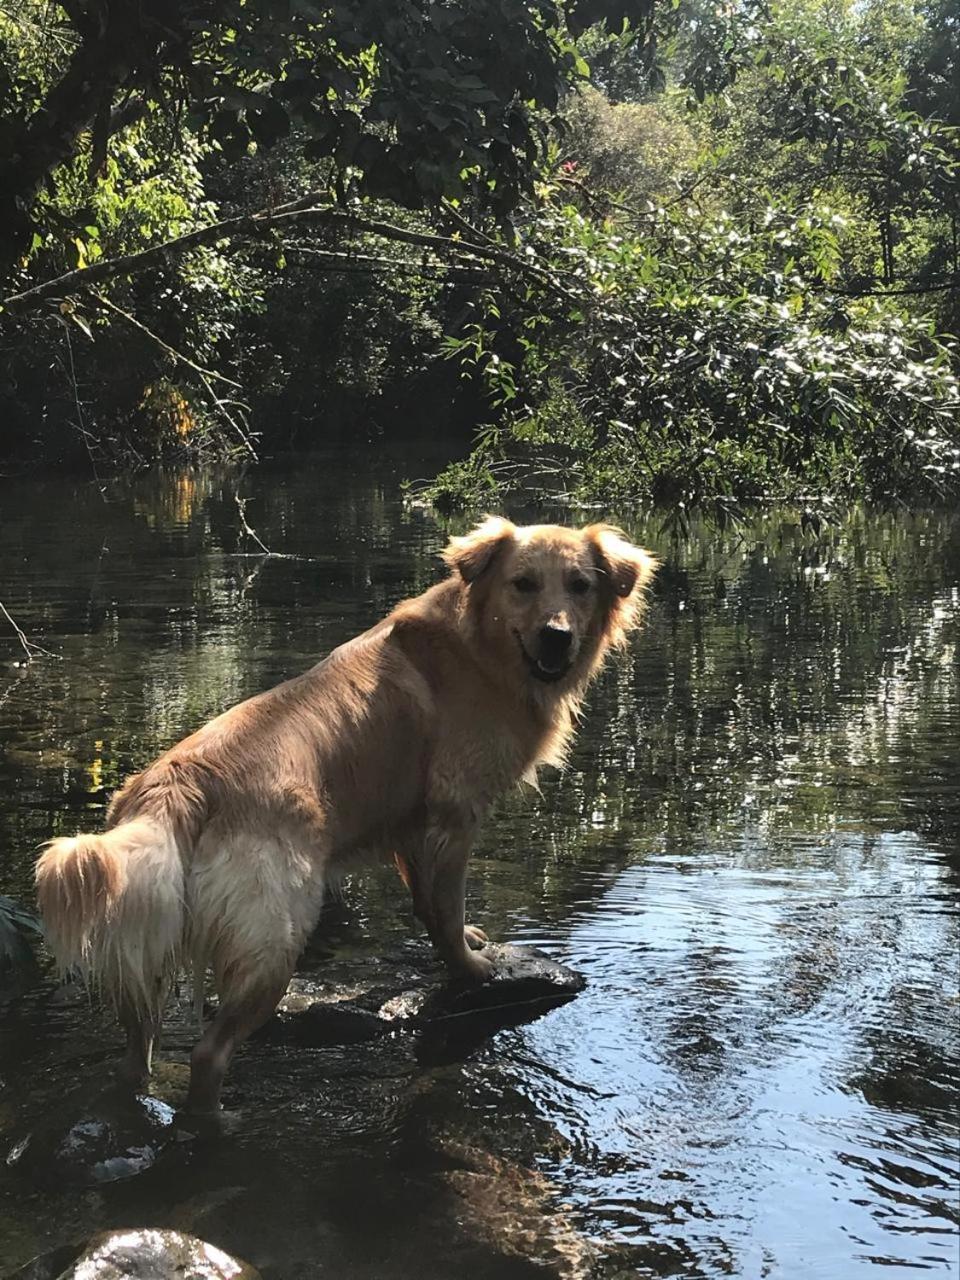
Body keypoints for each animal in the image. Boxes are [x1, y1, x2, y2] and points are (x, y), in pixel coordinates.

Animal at [33, 517, 660, 1111]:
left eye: (580, 586)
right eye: (523, 584)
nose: (557, 637)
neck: (476, 646)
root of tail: (177, 783)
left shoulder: (411, 823)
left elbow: (428, 906)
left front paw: (464, 942)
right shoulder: (455, 815)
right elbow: (447, 909)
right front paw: (471, 966)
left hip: (152, 939)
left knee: (137, 1045)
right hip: (275, 941)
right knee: (209, 1054)